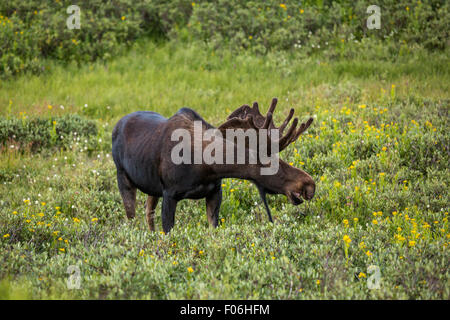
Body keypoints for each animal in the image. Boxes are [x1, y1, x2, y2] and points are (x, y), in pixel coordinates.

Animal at [111, 97, 316, 232]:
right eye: (270, 163)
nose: (309, 184)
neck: (206, 167)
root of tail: (116, 125)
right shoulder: (170, 193)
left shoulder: (214, 192)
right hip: (123, 178)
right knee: (132, 218)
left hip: (153, 188)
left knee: (149, 215)